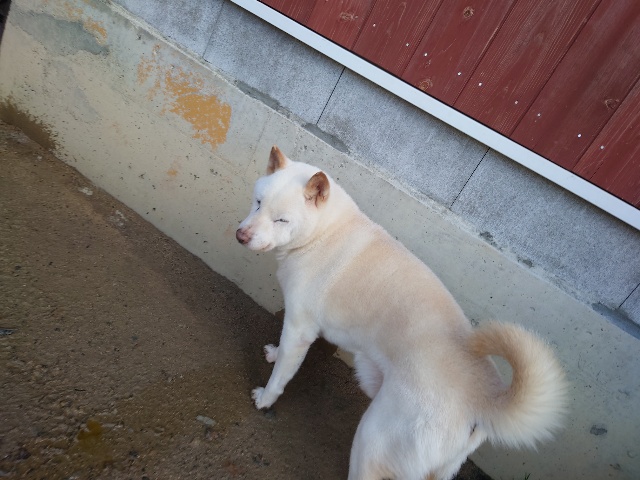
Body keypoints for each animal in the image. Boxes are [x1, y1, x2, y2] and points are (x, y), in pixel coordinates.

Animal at [236, 146, 567, 480]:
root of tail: (483, 400)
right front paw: (273, 352)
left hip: (370, 439)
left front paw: (265, 398)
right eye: (258, 202)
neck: (324, 233)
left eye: (281, 220)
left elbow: (281, 376)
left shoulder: (300, 328)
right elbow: (281, 353)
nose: (241, 236)